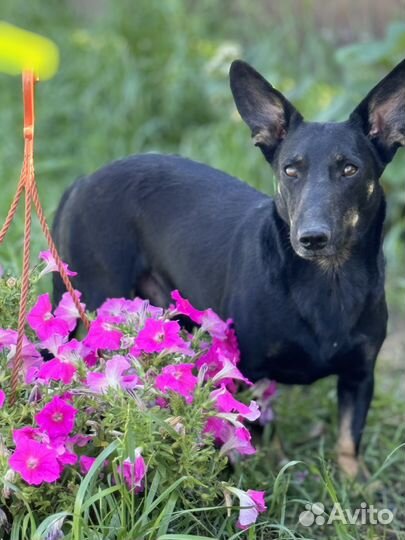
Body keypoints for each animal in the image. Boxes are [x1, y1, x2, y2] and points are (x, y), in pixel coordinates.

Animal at [52, 59, 404, 474]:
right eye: (290, 170)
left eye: (350, 169)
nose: (312, 237)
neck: (327, 281)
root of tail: (83, 181)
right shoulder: (248, 368)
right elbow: (253, 428)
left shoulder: (359, 376)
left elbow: (349, 439)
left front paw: (352, 479)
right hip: (91, 303)